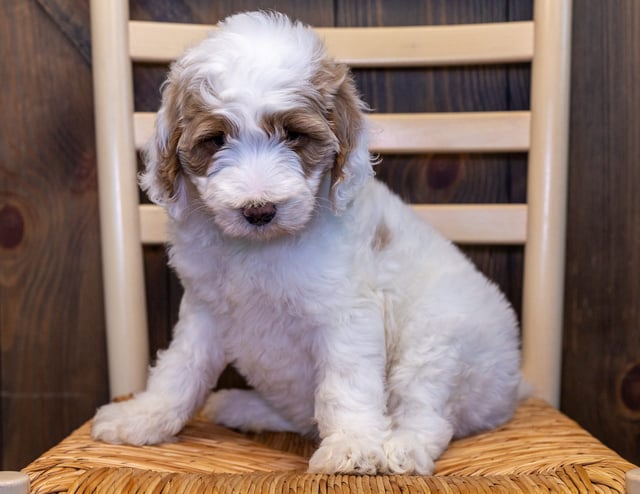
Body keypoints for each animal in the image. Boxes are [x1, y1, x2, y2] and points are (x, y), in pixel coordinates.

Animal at [92, 10, 524, 474]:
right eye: (216, 140)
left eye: (293, 135)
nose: (259, 210)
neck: (259, 248)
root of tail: (515, 388)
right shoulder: (204, 311)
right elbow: (180, 370)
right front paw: (142, 417)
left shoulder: (346, 314)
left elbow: (344, 385)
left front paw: (353, 445)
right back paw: (242, 406)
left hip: (436, 340)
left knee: (427, 414)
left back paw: (402, 449)